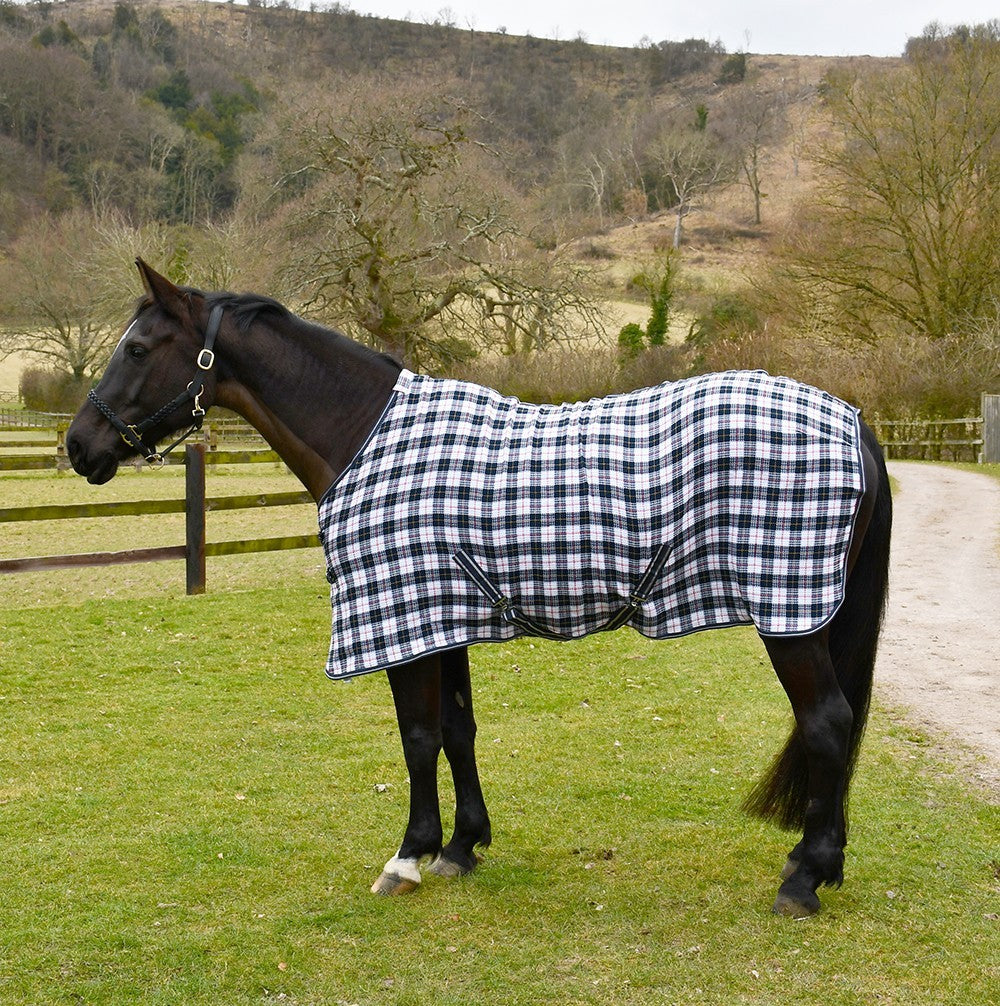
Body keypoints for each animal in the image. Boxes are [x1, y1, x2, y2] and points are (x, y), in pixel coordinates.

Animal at [67, 259, 892, 917]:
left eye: (137, 348)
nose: (79, 446)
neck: (363, 436)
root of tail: (851, 419)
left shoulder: (403, 621)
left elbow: (417, 737)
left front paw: (408, 856)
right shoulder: (443, 619)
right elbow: (458, 730)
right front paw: (463, 847)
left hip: (791, 618)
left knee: (826, 723)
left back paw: (803, 881)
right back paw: (820, 865)